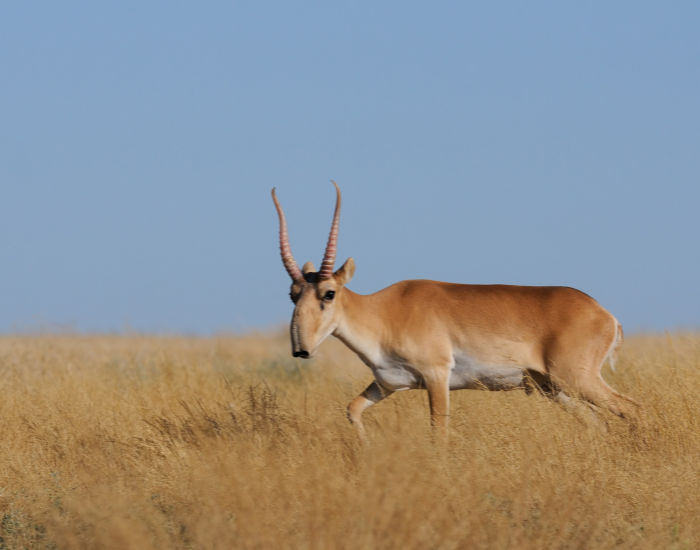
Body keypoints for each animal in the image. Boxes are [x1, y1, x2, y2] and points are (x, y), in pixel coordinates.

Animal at [272, 182, 641, 440]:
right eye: (293, 294)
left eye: (329, 293)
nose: (301, 349)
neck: (383, 312)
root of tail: (604, 314)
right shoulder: (388, 384)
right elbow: (352, 409)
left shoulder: (437, 377)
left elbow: (439, 433)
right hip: (555, 388)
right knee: (599, 424)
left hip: (576, 379)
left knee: (632, 409)